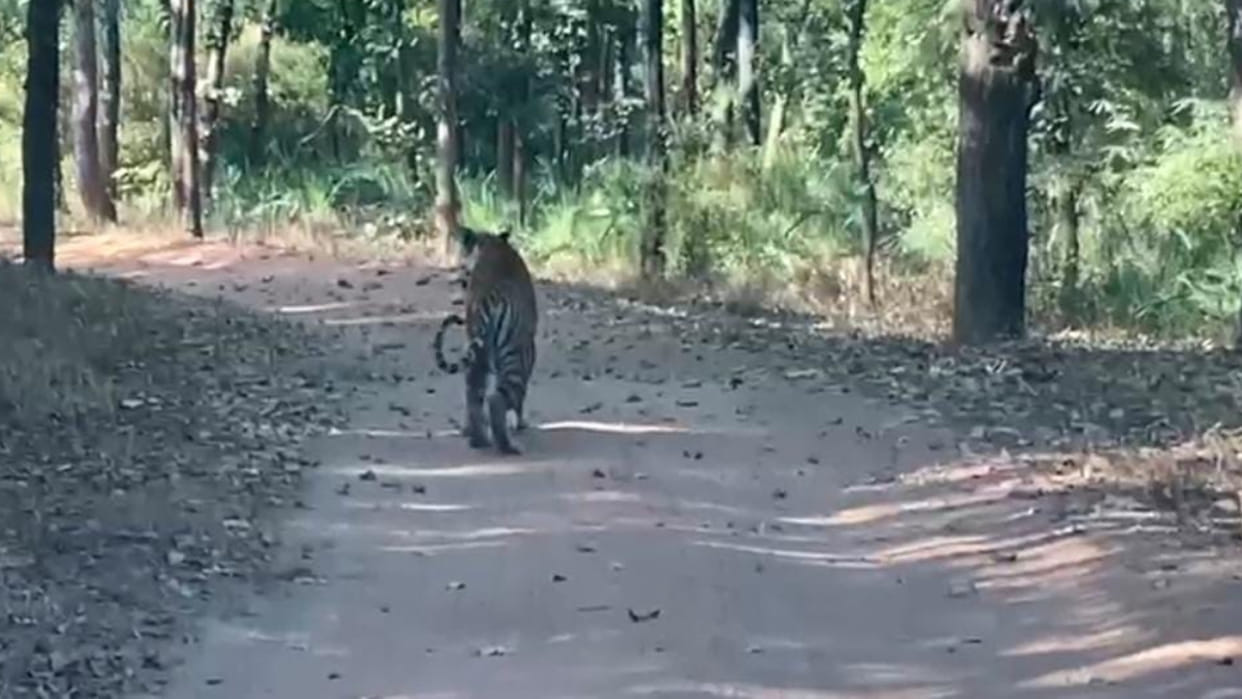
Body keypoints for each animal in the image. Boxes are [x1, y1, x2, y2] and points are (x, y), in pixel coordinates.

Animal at [432, 226, 537, 455]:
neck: (489, 243)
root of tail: (491, 300)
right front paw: (520, 423)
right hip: (516, 355)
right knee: (497, 399)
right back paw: (507, 446)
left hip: (478, 355)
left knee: (473, 394)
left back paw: (478, 440)